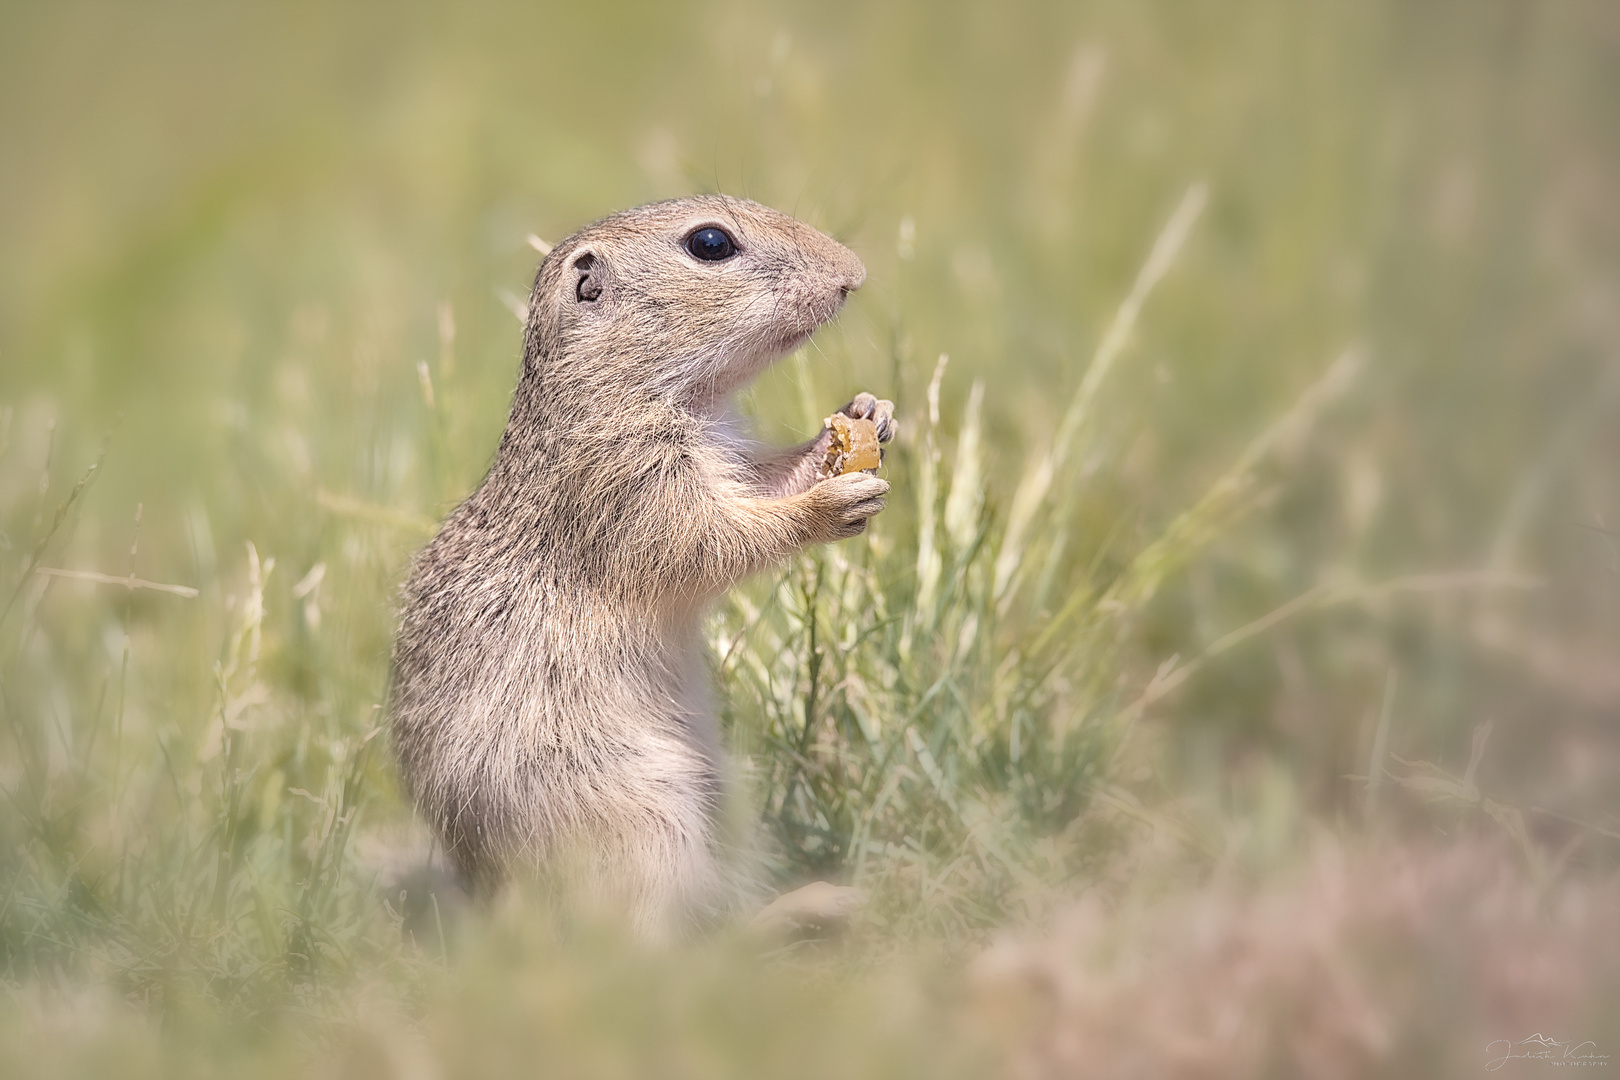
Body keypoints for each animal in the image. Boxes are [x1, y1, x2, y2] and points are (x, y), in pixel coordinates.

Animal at [392, 194, 900, 939]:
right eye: (711, 243)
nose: (854, 273)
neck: (623, 385)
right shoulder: (632, 486)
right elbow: (715, 541)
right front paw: (827, 506)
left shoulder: (727, 463)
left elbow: (770, 481)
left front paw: (867, 414)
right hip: (646, 820)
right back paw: (801, 911)